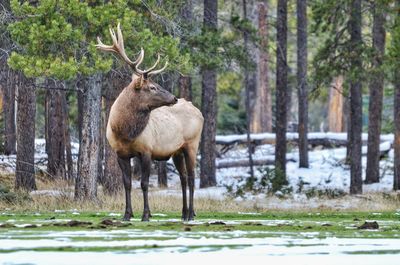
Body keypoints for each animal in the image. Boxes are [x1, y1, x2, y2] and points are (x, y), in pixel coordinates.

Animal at [96, 23, 203, 221]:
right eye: (152, 87)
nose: (174, 98)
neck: (123, 131)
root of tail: (198, 111)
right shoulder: (120, 154)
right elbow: (127, 183)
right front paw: (127, 214)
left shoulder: (146, 151)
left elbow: (144, 184)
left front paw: (146, 214)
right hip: (177, 151)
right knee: (183, 178)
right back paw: (184, 212)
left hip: (192, 144)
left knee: (192, 177)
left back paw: (191, 214)